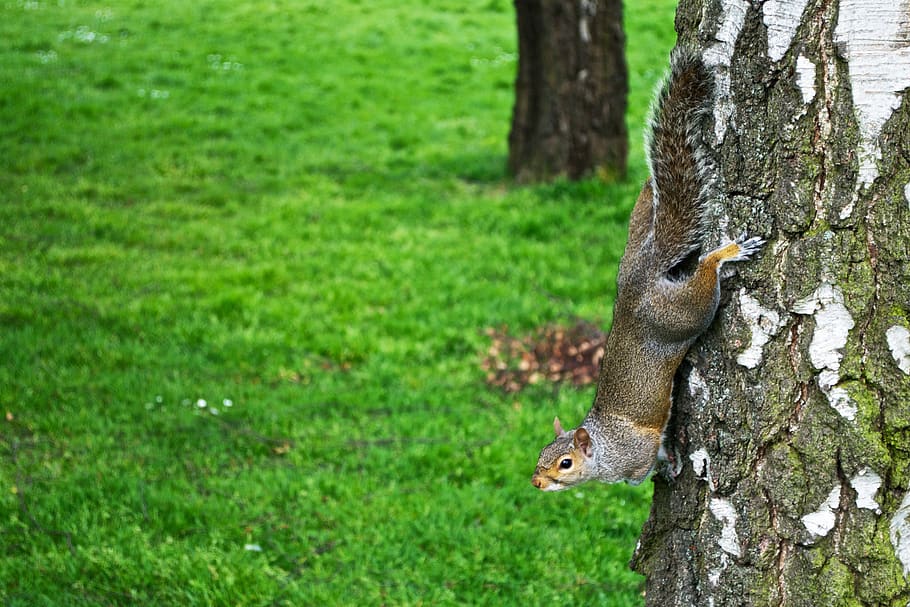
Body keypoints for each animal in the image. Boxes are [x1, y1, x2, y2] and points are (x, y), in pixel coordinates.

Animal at [531, 48, 763, 491]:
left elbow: (647, 467)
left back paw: (726, 253)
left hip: (683, 314)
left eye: (565, 463)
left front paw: (669, 466)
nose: (535, 481)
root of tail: (636, 281)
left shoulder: (636, 456)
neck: (604, 449)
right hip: (639, 234)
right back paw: (648, 187)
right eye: (541, 453)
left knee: (705, 278)